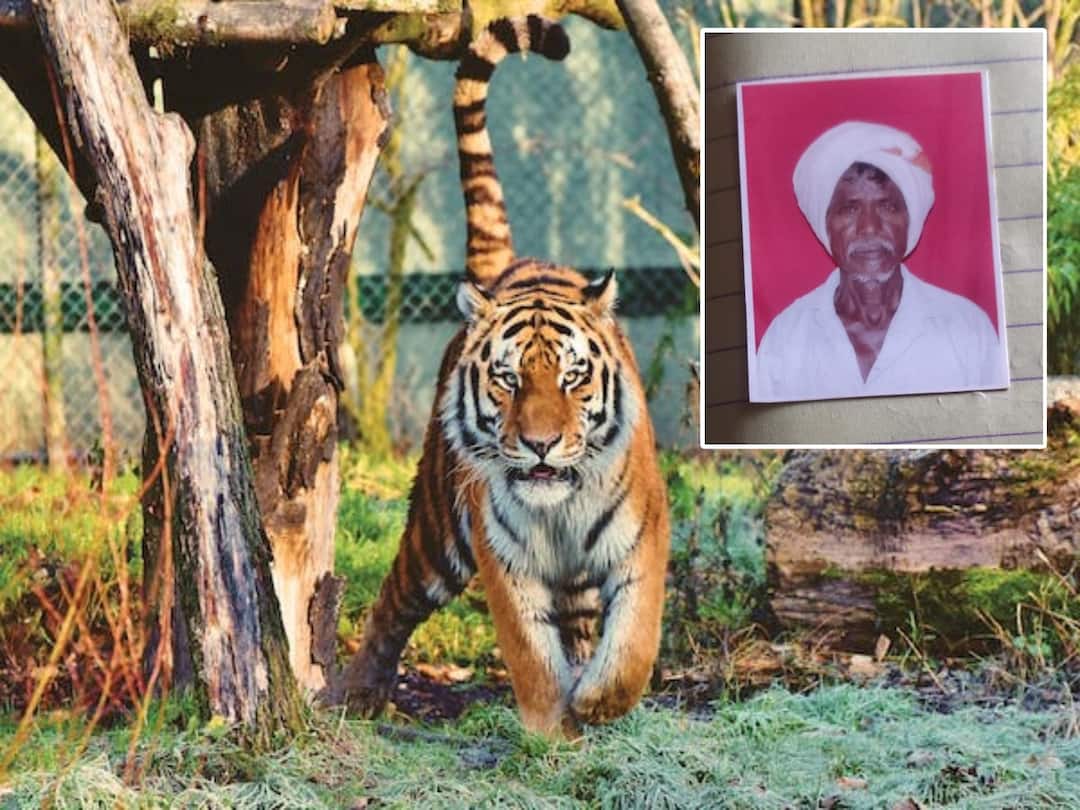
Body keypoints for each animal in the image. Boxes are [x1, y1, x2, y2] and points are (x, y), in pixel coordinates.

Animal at [333, 15, 670, 737]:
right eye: (509, 381)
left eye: (572, 378)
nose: (541, 444)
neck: (560, 508)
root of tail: (510, 266)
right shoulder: (503, 557)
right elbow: (529, 654)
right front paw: (551, 727)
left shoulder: (641, 541)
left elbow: (632, 643)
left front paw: (599, 701)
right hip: (436, 531)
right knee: (393, 601)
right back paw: (355, 695)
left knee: (580, 625)